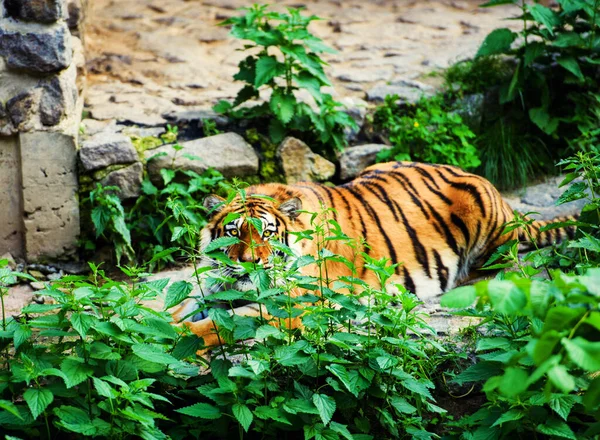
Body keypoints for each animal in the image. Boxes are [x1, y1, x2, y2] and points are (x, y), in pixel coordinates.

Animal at [173, 160, 576, 346]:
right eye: (233, 233)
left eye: (268, 234)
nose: (248, 264)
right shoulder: (212, 286)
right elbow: (179, 307)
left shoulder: (293, 305)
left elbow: (217, 325)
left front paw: (177, 337)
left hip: (485, 218)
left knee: (503, 264)